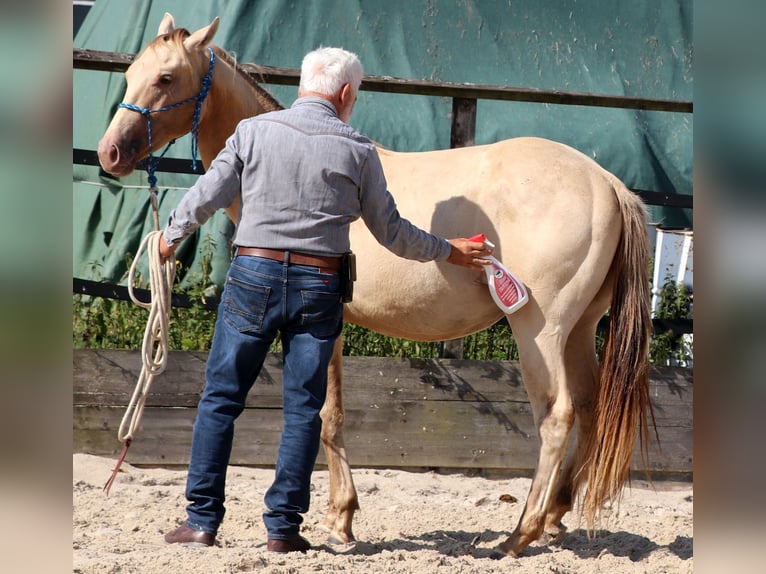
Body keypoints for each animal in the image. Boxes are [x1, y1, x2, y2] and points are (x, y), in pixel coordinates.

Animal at [97, 13, 653, 557]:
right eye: (131, 74)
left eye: (167, 78)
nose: (110, 152)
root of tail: (607, 183)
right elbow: (329, 413)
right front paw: (339, 516)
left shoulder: (324, 322)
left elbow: (325, 414)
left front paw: (339, 520)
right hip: (580, 329)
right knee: (590, 407)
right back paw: (556, 517)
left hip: (540, 329)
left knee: (557, 416)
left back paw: (520, 535)